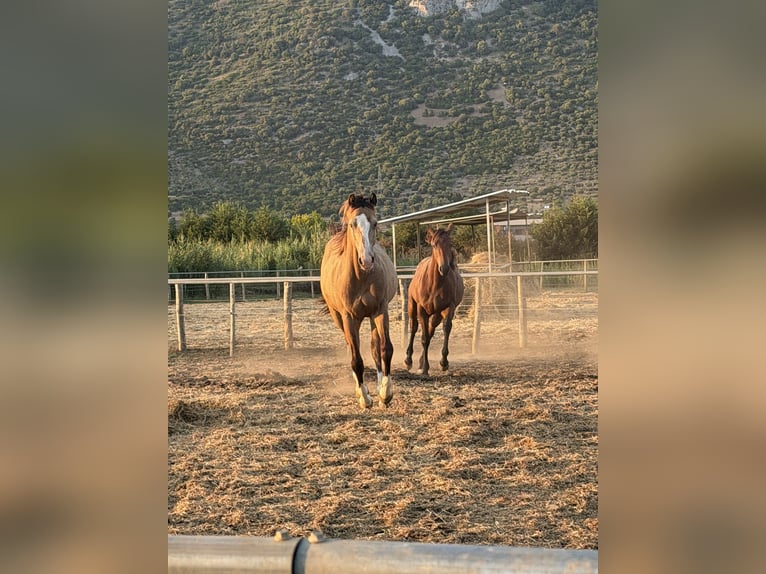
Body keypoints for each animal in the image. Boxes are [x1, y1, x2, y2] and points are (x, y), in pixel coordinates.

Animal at [320, 193, 397, 409]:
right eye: (353, 224)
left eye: (375, 223)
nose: (367, 260)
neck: (361, 277)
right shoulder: (348, 317)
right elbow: (356, 359)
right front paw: (364, 397)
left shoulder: (380, 310)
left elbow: (385, 349)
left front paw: (385, 393)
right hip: (339, 317)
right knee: (350, 347)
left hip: (371, 316)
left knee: (374, 346)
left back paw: (378, 388)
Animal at [404, 224, 464, 376]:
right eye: (434, 244)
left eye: (450, 244)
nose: (445, 268)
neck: (434, 284)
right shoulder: (421, 309)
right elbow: (423, 337)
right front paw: (425, 368)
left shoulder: (449, 307)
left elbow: (445, 328)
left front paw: (443, 363)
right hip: (412, 306)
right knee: (414, 328)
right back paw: (408, 360)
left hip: (436, 314)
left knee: (431, 331)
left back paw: (420, 362)